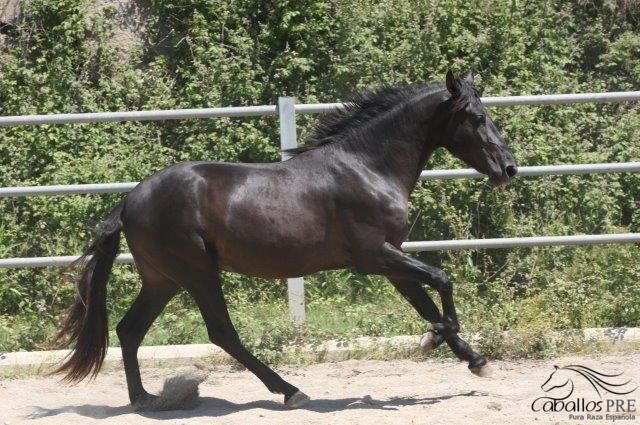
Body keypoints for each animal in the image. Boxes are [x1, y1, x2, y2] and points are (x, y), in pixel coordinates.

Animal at [53, 69, 516, 408]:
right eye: (476, 117)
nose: (508, 168)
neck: (368, 167)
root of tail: (129, 200)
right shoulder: (375, 257)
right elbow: (442, 280)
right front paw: (432, 340)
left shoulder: (393, 261)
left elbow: (426, 302)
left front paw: (474, 360)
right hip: (197, 272)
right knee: (221, 333)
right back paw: (290, 391)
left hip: (162, 279)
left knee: (129, 330)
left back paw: (143, 399)